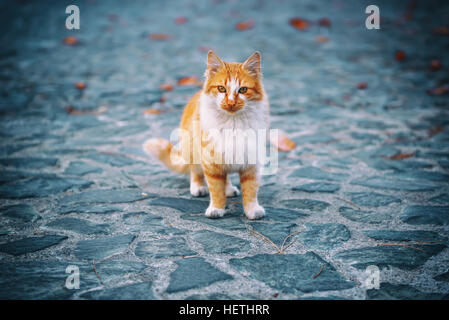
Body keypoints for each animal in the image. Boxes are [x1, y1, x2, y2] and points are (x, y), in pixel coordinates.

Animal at [145, 50, 268, 220]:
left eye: (243, 90)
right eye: (221, 89)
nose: (231, 103)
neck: (233, 122)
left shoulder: (251, 162)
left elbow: (250, 190)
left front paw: (252, 210)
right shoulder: (211, 161)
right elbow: (216, 189)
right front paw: (217, 208)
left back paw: (229, 189)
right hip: (193, 150)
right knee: (195, 172)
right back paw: (198, 187)